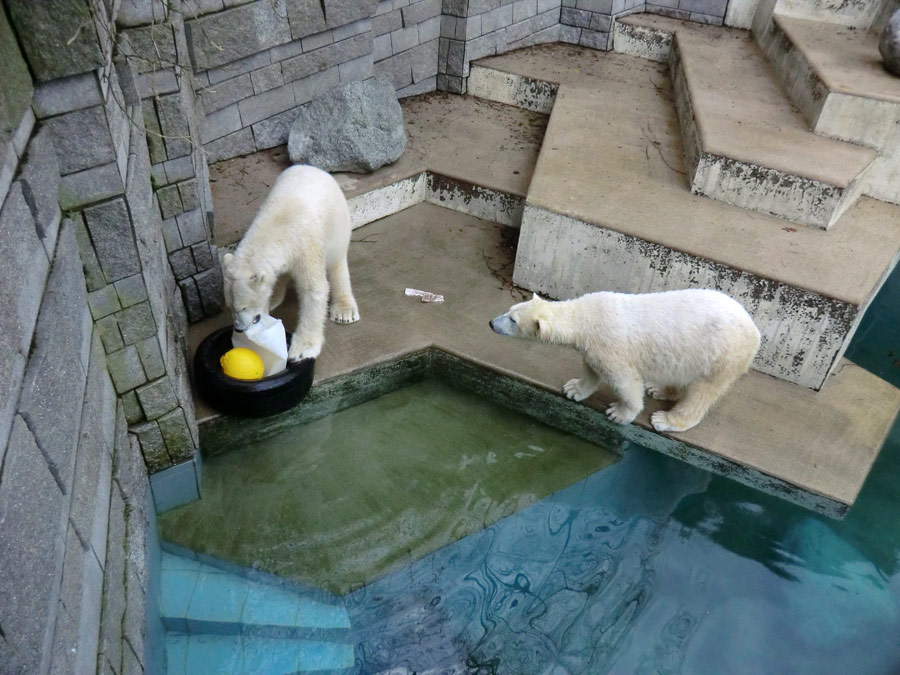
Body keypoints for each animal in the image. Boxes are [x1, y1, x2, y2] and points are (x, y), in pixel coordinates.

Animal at [221, 164, 358, 362]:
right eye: (230, 307)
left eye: (243, 307)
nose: (239, 328)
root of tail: (315, 169)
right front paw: (268, 302)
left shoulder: (305, 245)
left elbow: (313, 290)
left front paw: (301, 349)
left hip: (337, 223)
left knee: (336, 262)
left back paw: (344, 311)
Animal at [492, 290, 760, 434]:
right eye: (510, 309)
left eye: (513, 320)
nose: (492, 323)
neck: (585, 317)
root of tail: (755, 333)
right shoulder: (593, 348)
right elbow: (590, 370)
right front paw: (573, 389)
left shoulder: (610, 348)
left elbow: (625, 383)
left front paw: (619, 413)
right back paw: (658, 389)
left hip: (721, 356)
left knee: (703, 392)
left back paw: (666, 419)